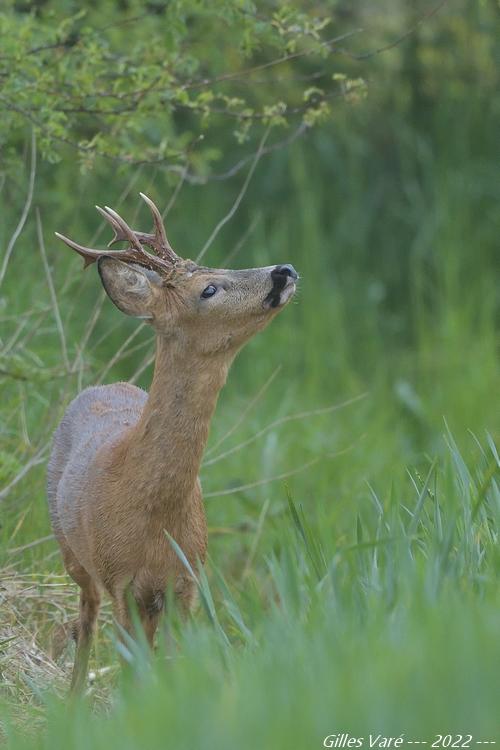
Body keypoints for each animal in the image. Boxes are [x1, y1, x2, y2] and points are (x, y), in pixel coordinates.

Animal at [47, 194, 296, 692]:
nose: (286, 270)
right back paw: (74, 694)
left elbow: (177, 660)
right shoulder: (121, 578)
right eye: (209, 289)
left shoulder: (188, 578)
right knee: (86, 618)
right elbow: (131, 662)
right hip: (72, 552)